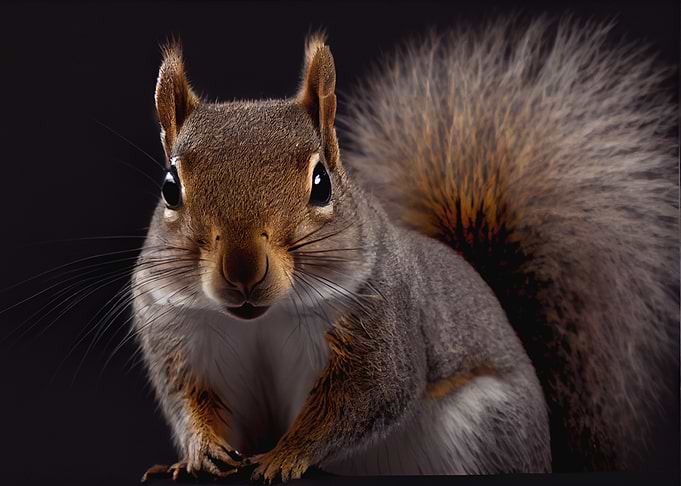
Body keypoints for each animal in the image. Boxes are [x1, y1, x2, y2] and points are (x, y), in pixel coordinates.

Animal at [133, 18, 678, 482]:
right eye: (169, 187)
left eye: (321, 183)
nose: (243, 269)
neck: (263, 320)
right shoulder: (176, 337)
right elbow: (188, 401)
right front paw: (199, 452)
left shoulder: (382, 333)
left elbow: (358, 402)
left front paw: (285, 456)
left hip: (486, 427)